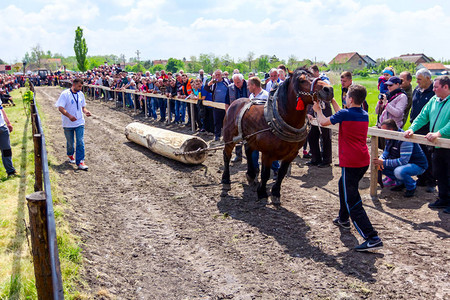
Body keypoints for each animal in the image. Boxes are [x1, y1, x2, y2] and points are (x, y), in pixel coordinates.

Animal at [221, 67, 334, 205]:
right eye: (302, 80)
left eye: (316, 76)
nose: (328, 89)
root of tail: (234, 103)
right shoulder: (267, 153)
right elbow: (265, 174)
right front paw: (262, 193)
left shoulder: (292, 153)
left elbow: (281, 173)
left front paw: (275, 193)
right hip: (229, 138)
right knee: (226, 155)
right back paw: (226, 181)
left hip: (250, 138)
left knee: (248, 151)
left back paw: (251, 175)